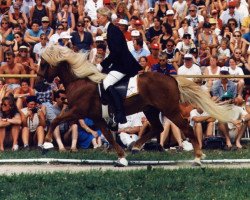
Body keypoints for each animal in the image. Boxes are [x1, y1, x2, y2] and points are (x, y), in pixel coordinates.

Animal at [36, 45, 232, 166]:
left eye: (44, 64)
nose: (38, 83)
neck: (80, 81)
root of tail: (172, 79)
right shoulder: (96, 117)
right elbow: (109, 136)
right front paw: (122, 158)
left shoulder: (77, 111)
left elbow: (56, 120)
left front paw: (46, 144)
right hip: (150, 109)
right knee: (158, 128)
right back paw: (136, 146)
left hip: (169, 109)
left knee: (186, 128)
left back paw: (198, 158)